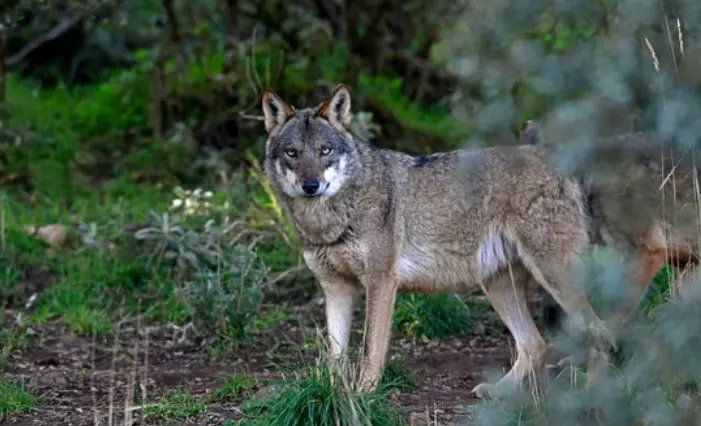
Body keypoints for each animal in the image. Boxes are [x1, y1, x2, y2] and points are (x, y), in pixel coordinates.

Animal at [260, 85, 615, 398]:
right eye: (292, 153)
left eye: (325, 151)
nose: (311, 185)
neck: (328, 221)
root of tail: (555, 158)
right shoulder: (335, 288)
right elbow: (335, 357)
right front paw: (335, 397)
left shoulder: (381, 283)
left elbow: (371, 349)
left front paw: (364, 395)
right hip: (498, 286)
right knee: (536, 345)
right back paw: (499, 393)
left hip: (553, 277)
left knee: (600, 333)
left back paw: (591, 396)